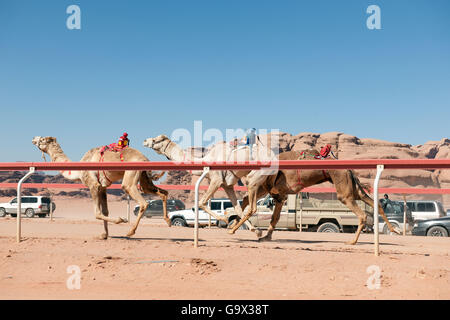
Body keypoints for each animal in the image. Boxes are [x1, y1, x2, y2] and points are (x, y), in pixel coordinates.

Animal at [32, 136, 169, 239]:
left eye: (43, 139)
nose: (33, 138)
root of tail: (145, 158)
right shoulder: (103, 187)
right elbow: (105, 211)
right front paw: (104, 234)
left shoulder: (93, 185)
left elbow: (97, 213)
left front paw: (121, 219)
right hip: (144, 178)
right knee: (163, 193)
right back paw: (167, 220)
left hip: (131, 176)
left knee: (142, 201)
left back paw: (130, 232)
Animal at [230, 149, 400, 244]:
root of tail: (349, 169)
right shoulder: (279, 194)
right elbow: (273, 217)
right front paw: (265, 236)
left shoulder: (268, 189)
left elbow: (252, 208)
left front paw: (233, 230)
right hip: (352, 187)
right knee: (375, 203)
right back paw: (395, 230)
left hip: (343, 189)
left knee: (362, 214)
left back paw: (352, 241)